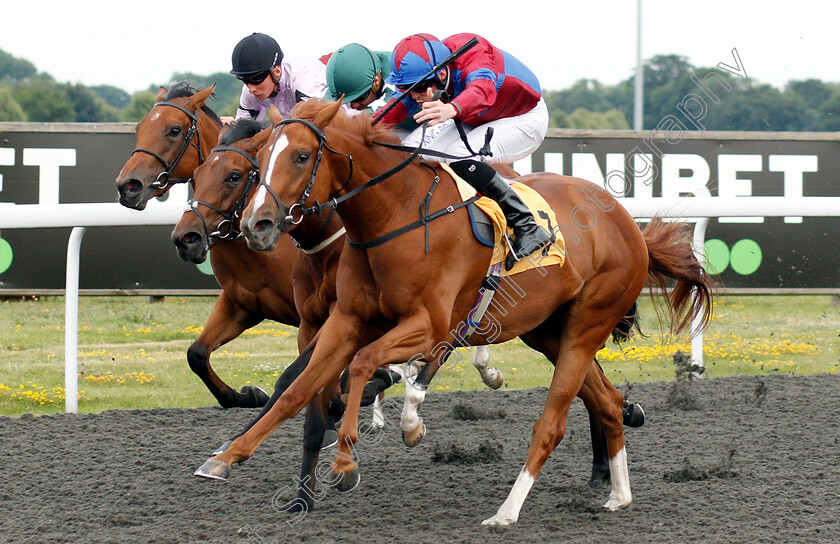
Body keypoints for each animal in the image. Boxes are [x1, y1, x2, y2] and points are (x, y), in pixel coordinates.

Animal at [199, 100, 716, 524]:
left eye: (302, 156)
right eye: (261, 158)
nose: (257, 224)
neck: (394, 217)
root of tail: (628, 223)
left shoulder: (430, 326)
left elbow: (365, 364)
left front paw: (347, 461)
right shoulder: (344, 322)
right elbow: (297, 390)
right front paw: (228, 456)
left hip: (588, 323)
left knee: (551, 424)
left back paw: (506, 513)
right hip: (549, 331)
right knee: (606, 402)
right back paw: (618, 496)